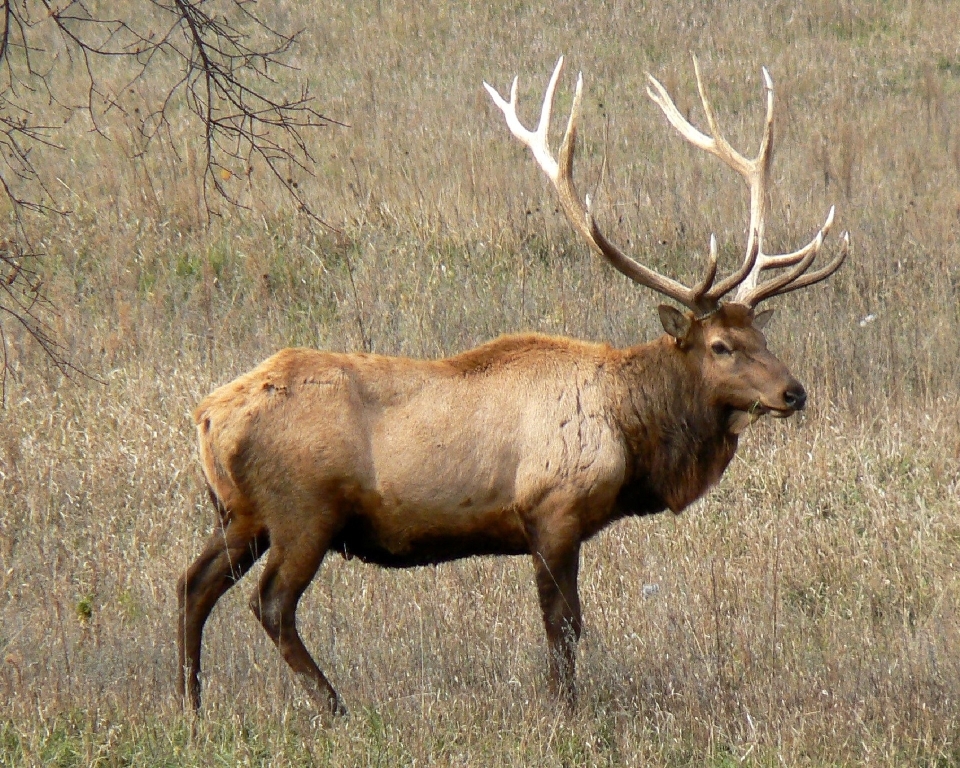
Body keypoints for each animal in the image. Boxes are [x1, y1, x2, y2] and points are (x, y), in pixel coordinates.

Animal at [176, 57, 844, 716]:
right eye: (720, 346)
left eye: (761, 334)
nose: (794, 392)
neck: (632, 434)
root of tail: (207, 416)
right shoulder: (551, 509)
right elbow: (564, 624)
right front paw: (565, 711)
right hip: (302, 510)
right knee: (270, 603)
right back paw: (334, 706)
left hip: (241, 513)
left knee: (192, 584)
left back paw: (191, 702)